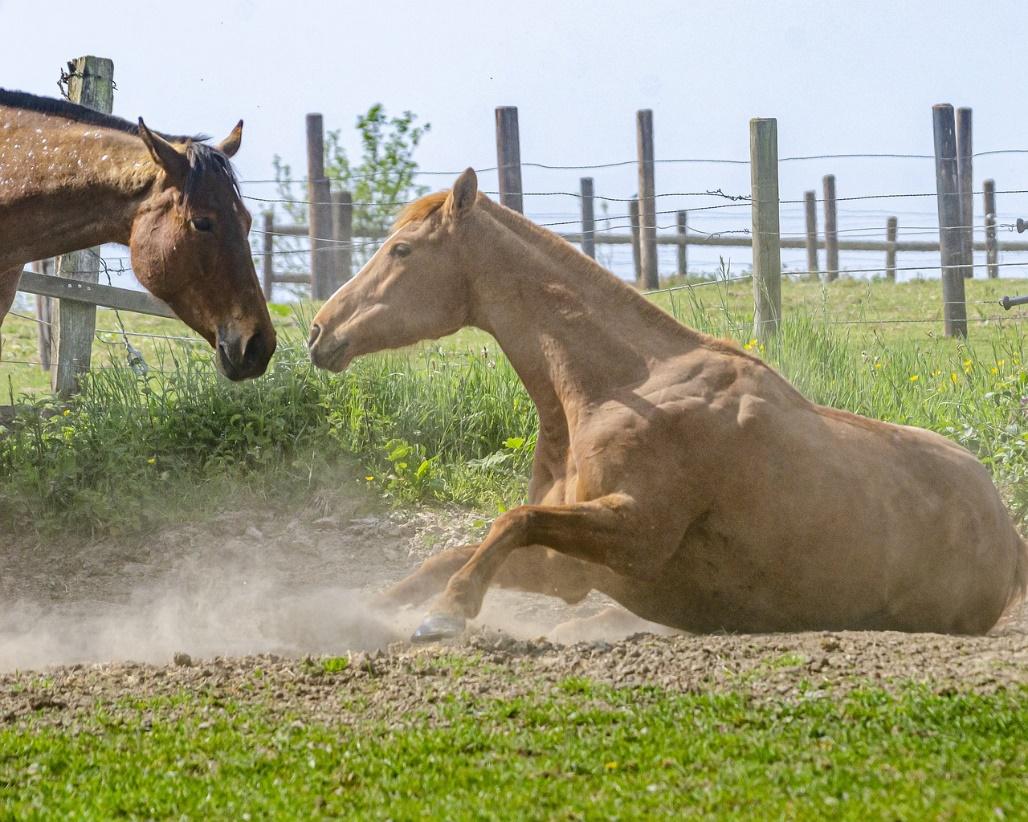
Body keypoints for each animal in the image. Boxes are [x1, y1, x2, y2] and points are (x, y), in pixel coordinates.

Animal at [306, 168, 1028, 641]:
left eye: (401, 249)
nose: (317, 331)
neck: (625, 387)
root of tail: (1007, 532)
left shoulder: (637, 534)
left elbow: (513, 520)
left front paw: (447, 614)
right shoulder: (569, 568)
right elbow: (455, 551)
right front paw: (354, 611)